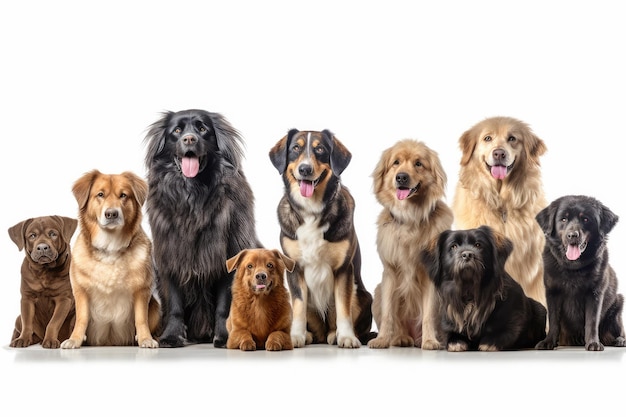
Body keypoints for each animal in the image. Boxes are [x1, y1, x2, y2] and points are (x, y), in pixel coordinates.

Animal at [8, 214, 78, 348]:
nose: (42, 247)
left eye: (53, 234)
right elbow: (27, 323)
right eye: (32, 235)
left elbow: (53, 322)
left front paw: (50, 340)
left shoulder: (64, 299)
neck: (44, 272)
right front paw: (23, 339)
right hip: (18, 318)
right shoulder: (27, 298)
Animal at [60, 169, 161, 348]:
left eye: (123, 195)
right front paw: (75, 339)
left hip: (155, 308)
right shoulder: (80, 291)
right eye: (100, 194)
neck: (110, 247)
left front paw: (145, 339)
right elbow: (82, 318)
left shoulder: (142, 290)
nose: (111, 214)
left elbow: (141, 319)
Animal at [144, 109, 260, 346]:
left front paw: (225, 337)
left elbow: (224, 306)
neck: (193, 196)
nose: (189, 139)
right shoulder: (171, 257)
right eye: (177, 130)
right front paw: (171, 336)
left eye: (202, 129)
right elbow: (175, 304)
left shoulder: (229, 256)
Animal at [366, 139, 454, 348]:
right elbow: (389, 313)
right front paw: (382, 339)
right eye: (396, 162)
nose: (401, 177)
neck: (410, 218)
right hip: (378, 291)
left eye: (418, 163)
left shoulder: (431, 277)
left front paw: (430, 341)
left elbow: (429, 314)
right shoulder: (390, 272)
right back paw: (399, 337)